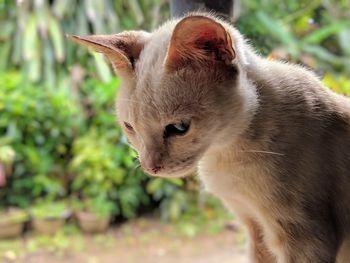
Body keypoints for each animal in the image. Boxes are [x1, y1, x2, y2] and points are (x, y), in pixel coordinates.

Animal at [68, 12, 350, 263]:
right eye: (130, 127)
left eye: (179, 127)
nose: (149, 168)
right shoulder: (255, 228)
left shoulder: (304, 238)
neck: (225, 155)